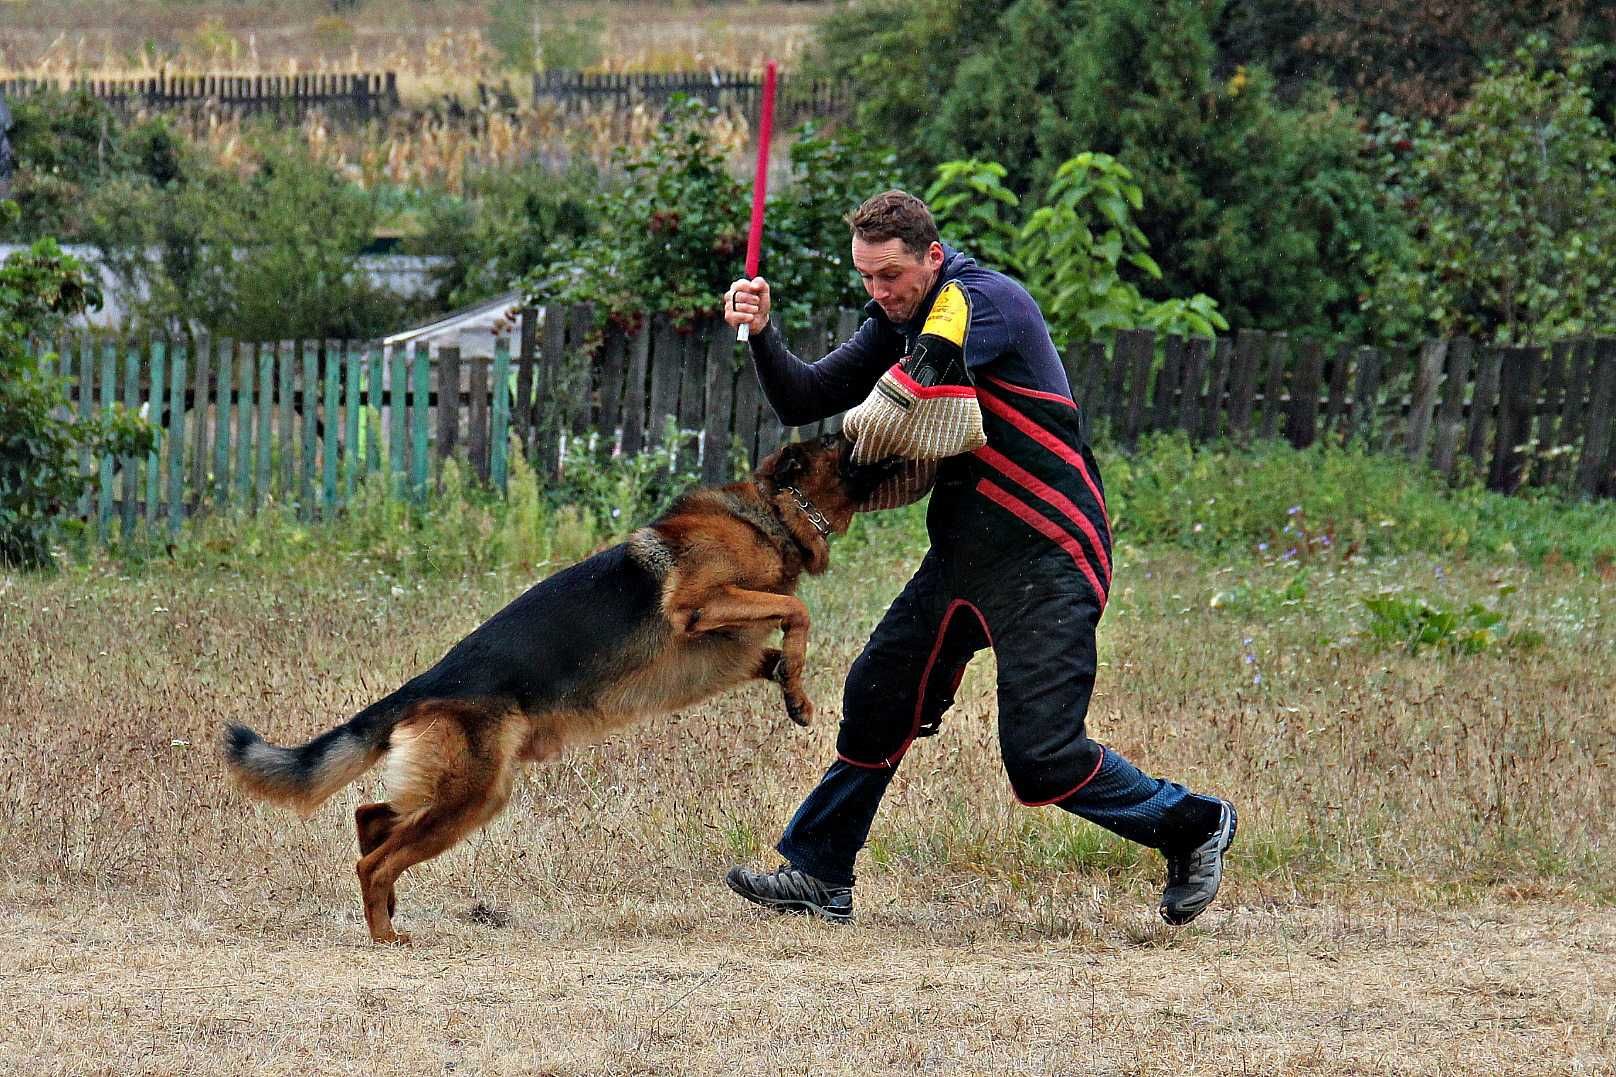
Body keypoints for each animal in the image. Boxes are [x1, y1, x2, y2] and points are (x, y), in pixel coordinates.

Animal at [221, 433, 885, 937]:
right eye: (840, 442)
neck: (771, 513)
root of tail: (422, 685)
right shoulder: (700, 606)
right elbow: (797, 611)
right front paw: (797, 677)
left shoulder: (726, 648)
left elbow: (777, 644)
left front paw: (794, 694)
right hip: (472, 795)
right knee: (375, 860)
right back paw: (385, 937)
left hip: (459, 790)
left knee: (371, 817)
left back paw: (387, 913)